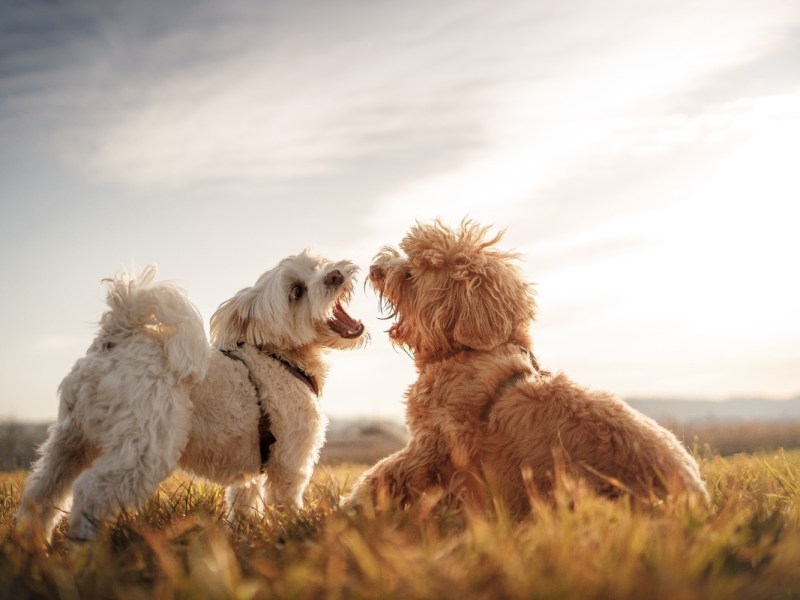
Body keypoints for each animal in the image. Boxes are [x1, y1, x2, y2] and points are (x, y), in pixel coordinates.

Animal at [15, 251, 366, 548]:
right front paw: (295, 529)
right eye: (296, 291)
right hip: (144, 451)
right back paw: (82, 555)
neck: (277, 357)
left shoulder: (252, 470)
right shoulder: (289, 460)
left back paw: (34, 549)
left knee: (41, 493)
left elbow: (244, 502)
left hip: (69, 442)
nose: (335, 275)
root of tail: (116, 339)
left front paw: (246, 535)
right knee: (90, 492)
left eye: (318, 264)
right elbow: (286, 500)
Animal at [348, 220, 708, 516]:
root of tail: (696, 500)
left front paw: (350, 506)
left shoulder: (432, 446)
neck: (468, 351)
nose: (375, 267)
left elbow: (383, 474)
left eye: (412, 272)